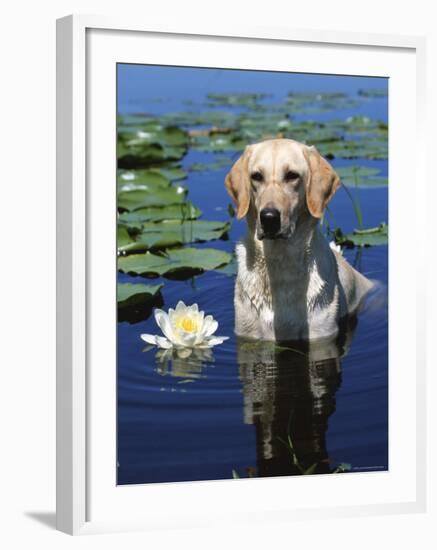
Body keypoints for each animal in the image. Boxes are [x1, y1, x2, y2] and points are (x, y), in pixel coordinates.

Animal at [225, 139, 372, 340]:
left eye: (292, 176)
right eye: (256, 176)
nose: (269, 218)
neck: (280, 262)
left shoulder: (321, 334)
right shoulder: (248, 331)